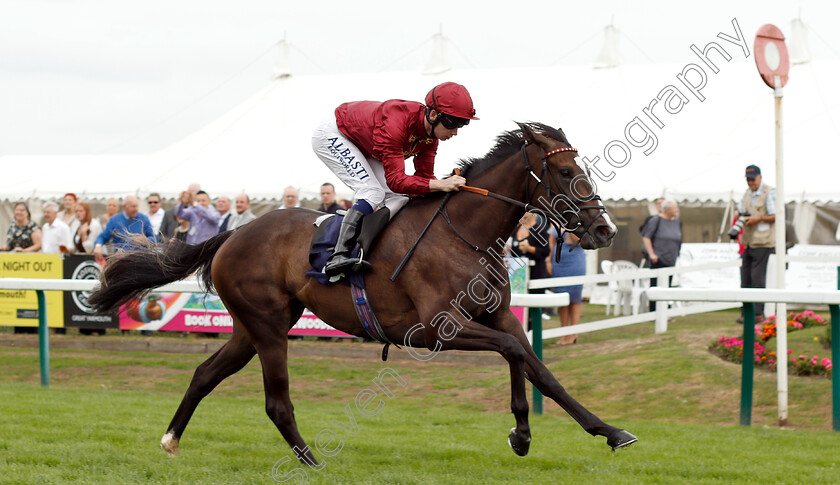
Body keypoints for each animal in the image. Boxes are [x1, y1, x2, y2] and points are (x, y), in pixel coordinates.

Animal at [88, 121, 636, 462]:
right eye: (564, 172)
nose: (604, 229)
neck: (464, 231)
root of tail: (232, 234)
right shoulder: (437, 329)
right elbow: (515, 353)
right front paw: (526, 432)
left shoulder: (498, 315)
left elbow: (538, 369)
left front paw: (602, 431)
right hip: (267, 327)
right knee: (276, 401)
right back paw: (311, 460)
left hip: (252, 326)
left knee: (205, 373)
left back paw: (171, 440)